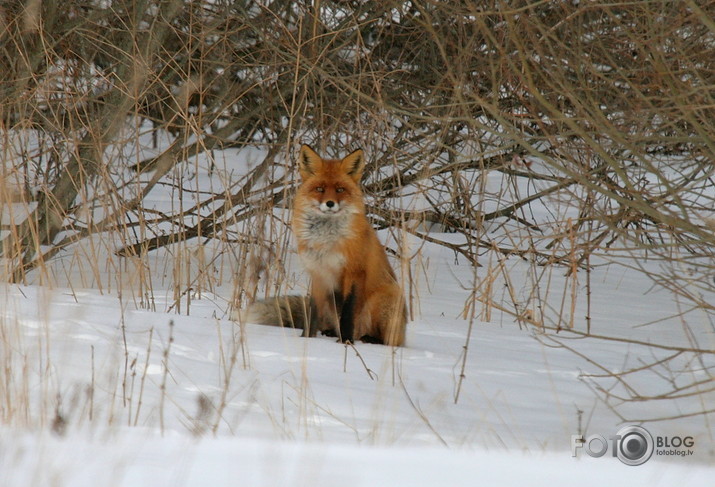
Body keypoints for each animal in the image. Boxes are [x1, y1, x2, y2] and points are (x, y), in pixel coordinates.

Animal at [242, 145, 406, 346]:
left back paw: (367, 338)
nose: (329, 203)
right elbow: (312, 312)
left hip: (386, 297)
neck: (326, 241)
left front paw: (346, 342)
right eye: (319, 189)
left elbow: (348, 312)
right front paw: (307, 339)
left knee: (390, 342)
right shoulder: (317, 273)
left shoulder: (354, 271)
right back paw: (331, 333)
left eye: (340, 189)